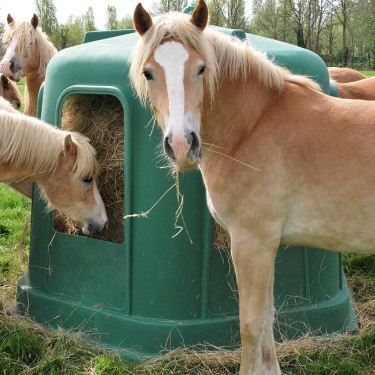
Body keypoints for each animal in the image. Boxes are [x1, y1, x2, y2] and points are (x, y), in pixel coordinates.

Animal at [131, 1, 375, 374]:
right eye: (148, 73)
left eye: (201, 69)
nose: (183, 145)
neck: (252, 126)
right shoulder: (267, 245)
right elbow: (267, 318)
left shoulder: (252, 244)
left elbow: (250, 325)